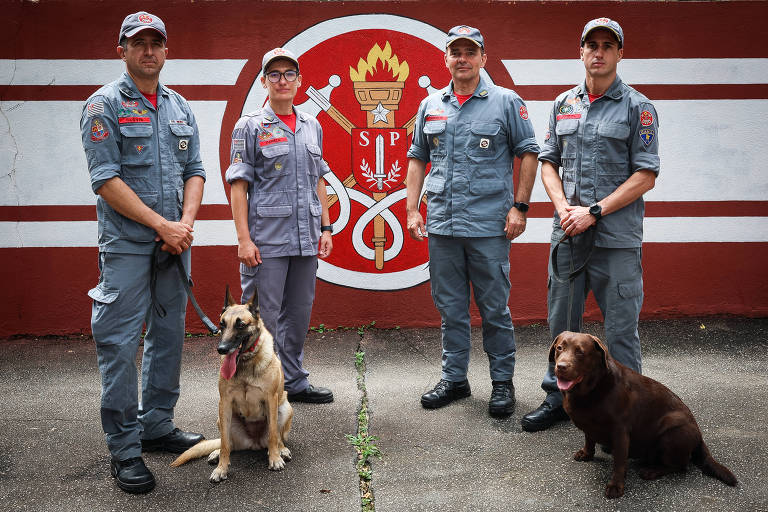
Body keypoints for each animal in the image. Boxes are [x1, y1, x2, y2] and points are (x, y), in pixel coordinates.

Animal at [172, 286, 294, 482]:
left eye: (241, 325)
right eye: (222, 324)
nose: (221, 349)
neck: (245, 362)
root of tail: (254, 443)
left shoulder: (271, 399)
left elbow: (273, 434)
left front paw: (275, 459)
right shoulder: (225, 403)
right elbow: (225, 447)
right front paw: (221, 468)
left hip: (285, 408)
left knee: (277, 437)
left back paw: (281, 450)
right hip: (222, 419)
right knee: (228, 443)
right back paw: (216, 453)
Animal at [548, 330, 736, 498]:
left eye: (580, 352)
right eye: (559, 348)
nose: (561, 367)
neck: (592, 389)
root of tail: (700, 436)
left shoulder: (620, 431)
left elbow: (619, 461)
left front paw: (616, 486)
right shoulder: (589, 424)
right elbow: (589, 438)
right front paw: (586, 454)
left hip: (672, 432)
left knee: (681, 465)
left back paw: (652, 471)